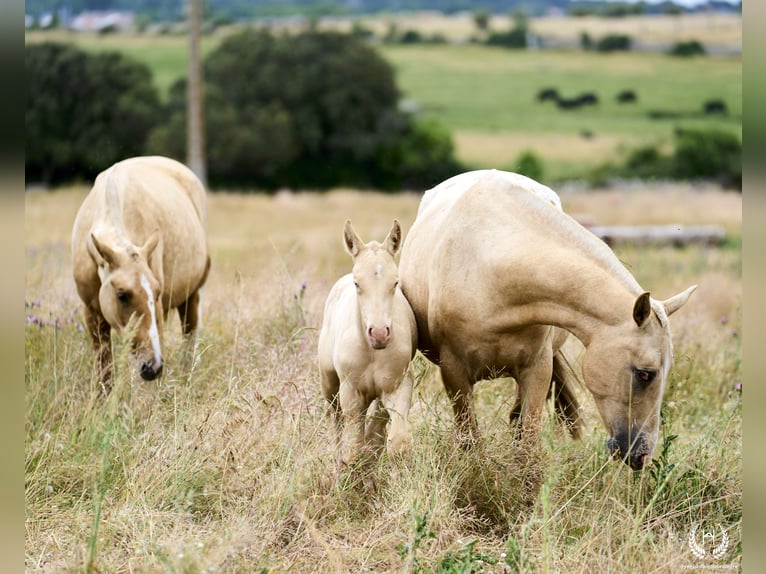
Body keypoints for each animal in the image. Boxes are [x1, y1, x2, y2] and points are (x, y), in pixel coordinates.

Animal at [73, 156, 210, 392]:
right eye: (122, 294)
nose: (152, 366)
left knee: (189, 340)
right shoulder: (92, 314)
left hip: (191, 297)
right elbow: (105, 370)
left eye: (156, 292)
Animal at [320, 220, 424, 468]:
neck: (371, 352)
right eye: (357, 283)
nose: (379, 334)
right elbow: (352, 449)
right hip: (329, 382)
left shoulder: (399, 385)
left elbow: (397, 443)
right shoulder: (351, 393)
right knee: (334, 419)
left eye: (395, 282)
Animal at [400, 171, 700, 472]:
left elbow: (527, 441)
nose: (643, 456)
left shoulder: (537, 370)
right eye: (645, 374)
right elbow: (469, 439)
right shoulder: (454, 373)